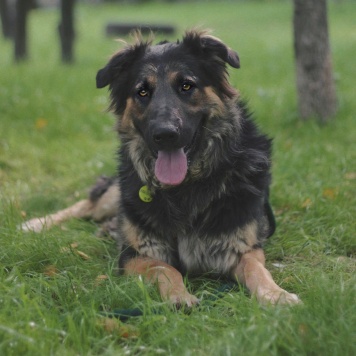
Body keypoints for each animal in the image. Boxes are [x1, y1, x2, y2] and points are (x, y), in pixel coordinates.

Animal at [21, 30, 300, 308]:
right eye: (143, 92)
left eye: (187, 86)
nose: (165, 135)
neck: (185, 188)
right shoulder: (135, 254)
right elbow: (165, 268)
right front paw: (179, 296)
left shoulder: (243, 248)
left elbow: (257, 269)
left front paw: (276, 295)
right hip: (117, 196)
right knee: (88, 204)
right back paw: (35, 224)